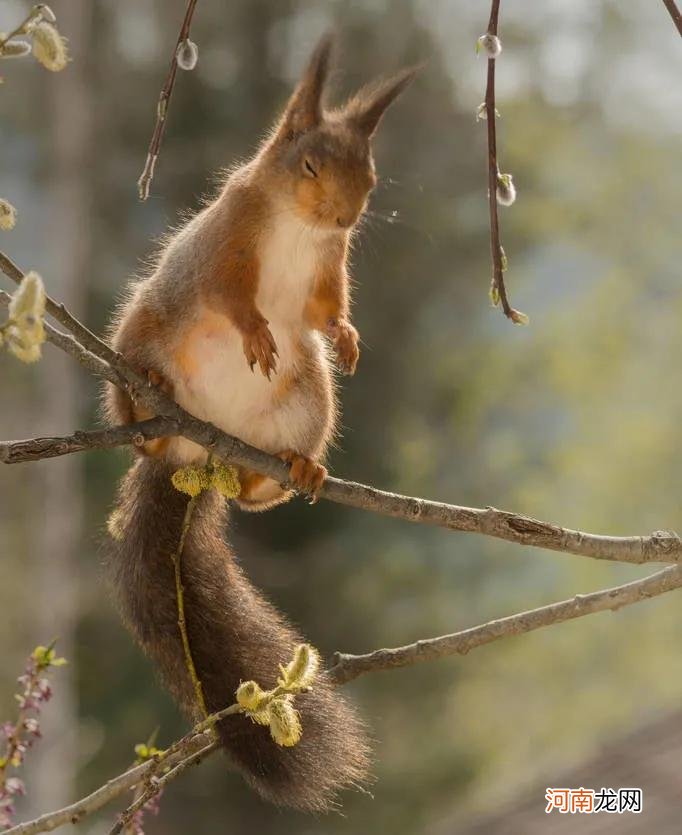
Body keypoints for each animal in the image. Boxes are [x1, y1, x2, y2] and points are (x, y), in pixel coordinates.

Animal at [103, 36, 412, 812]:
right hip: (142, 328)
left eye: (371, 174)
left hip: (311, 398)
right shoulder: (227, 243)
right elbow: (230, 295)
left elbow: (326, 307)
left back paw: (288, 470)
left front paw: (349, 337)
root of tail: (200, 449)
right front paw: (252, 331)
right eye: (308, 165)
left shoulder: (330, 267)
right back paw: (150, 407)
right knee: (140, 401)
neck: (301, 229)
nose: (344, 218)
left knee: (252, 492)